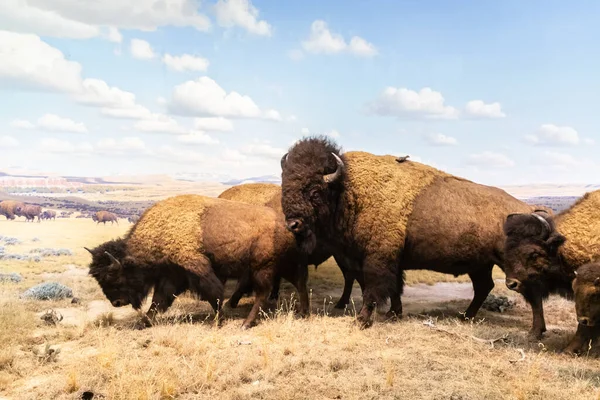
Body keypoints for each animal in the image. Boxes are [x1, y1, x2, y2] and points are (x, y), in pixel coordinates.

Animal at [84, 193, 310, 328]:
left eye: (113, 275)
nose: (116, 302)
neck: (161, 231)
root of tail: (287, 225)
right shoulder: (171, 275)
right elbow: (159, 300)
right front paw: (145, 321)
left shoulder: (197, 268)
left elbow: (214, 294)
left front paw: (218, 321)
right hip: (284, 266)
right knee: (300, 284)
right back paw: (303, 313)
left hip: (262, 268)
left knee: (263, 293)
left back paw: (246, 323)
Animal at [278, 136, 536, 330]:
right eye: (285, 186)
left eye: (314, 191)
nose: (293, 224)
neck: (347, 189)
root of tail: (527, 209)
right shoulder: (384, 261)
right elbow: (394, 289)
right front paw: (394, 313)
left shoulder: (376, 260)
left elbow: (373, 290)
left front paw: (361, 321)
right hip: (480, 265)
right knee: (484, 287)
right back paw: (466, 316)